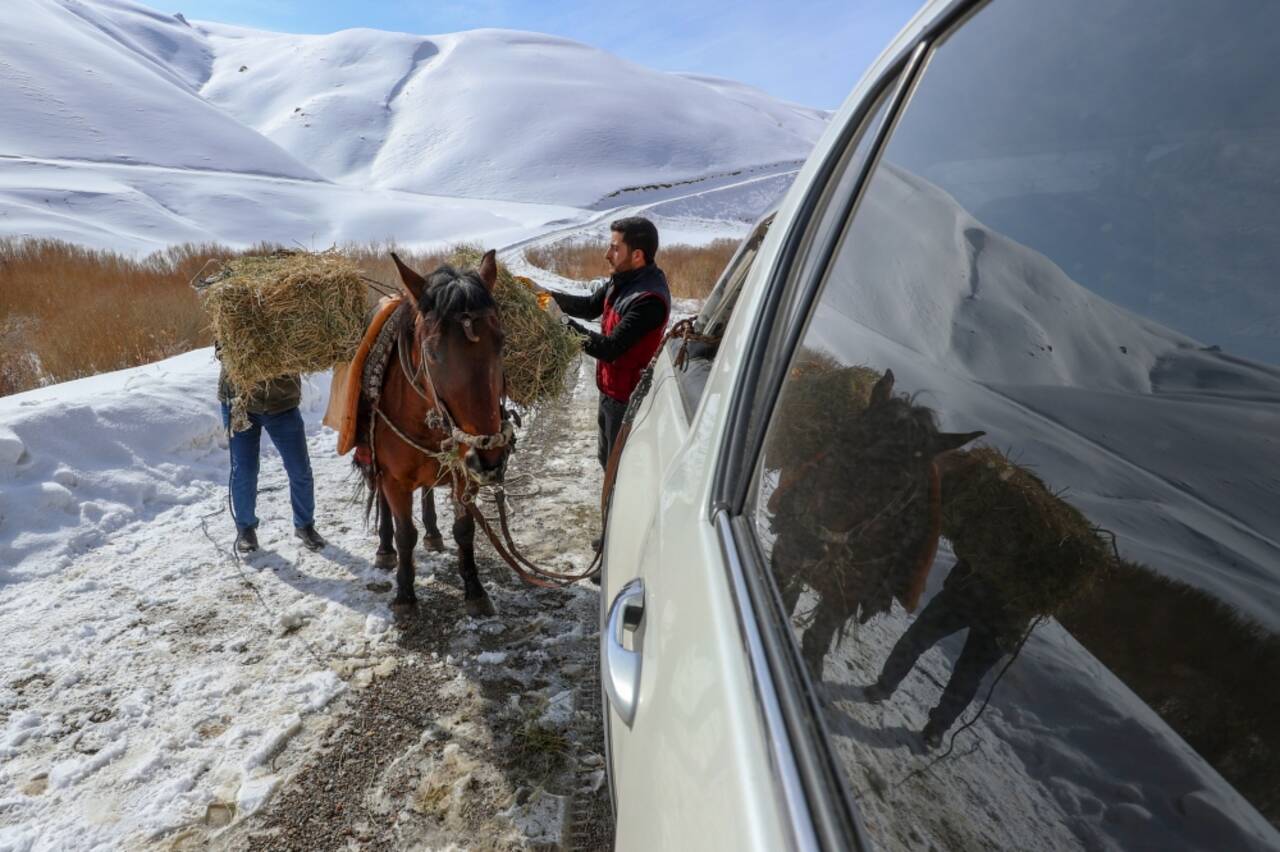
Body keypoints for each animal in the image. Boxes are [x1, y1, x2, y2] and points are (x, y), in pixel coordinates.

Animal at [366, 249, 509, 614]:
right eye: (432, 353)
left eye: (501, 343)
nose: (489, 459)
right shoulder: (394, 480)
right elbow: (405, 534)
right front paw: (405, 595)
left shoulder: (464, 475)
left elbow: (465, 529)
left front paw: (474, 589)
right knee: (387, 510)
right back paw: (384, 550)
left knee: (428, 493)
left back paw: (432, 533)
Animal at [768, 370, 977, 675]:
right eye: (841, 437)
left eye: (901, 484)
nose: (803, 541)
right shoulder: (784, 558)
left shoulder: (845, 597)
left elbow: (817, 639)